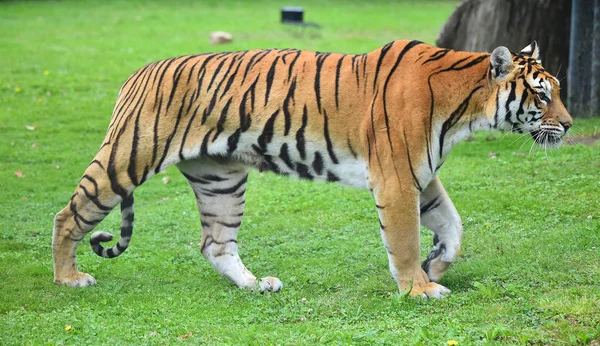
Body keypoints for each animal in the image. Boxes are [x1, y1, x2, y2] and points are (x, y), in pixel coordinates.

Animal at [51, 38, 572, 298]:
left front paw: (437, 265)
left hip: (220, 178)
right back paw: (69, 278)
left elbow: (454, 225)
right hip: (125, 161)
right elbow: (404, 239)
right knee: (68, 215)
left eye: (559, 91)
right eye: (542, 94)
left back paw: (255, 285)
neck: (466, 109)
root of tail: (138, 73)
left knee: (215, 244)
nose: (568, 125)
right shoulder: (397, 178)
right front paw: (418, 288)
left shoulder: (421, 177)